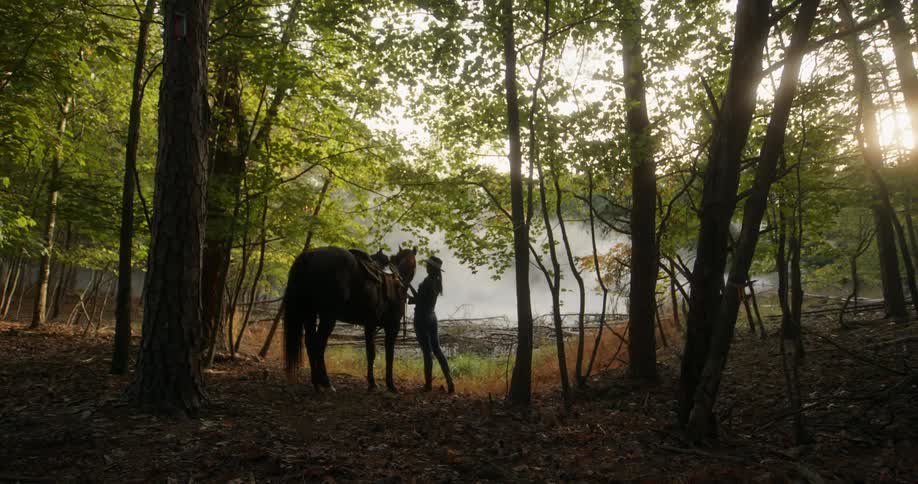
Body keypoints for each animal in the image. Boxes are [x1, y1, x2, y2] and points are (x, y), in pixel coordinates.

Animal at [283, 246, 417, 392]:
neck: (397, 281)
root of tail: (309, 256)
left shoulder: (370, 325)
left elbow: (370, 353)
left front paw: (372, 383)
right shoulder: (392, 327)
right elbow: (389, 355)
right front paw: (390, 385)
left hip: (310, 314)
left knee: (310, 343)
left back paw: (318, 383)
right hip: (328, 317)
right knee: (318, 344)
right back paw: (325, 383)